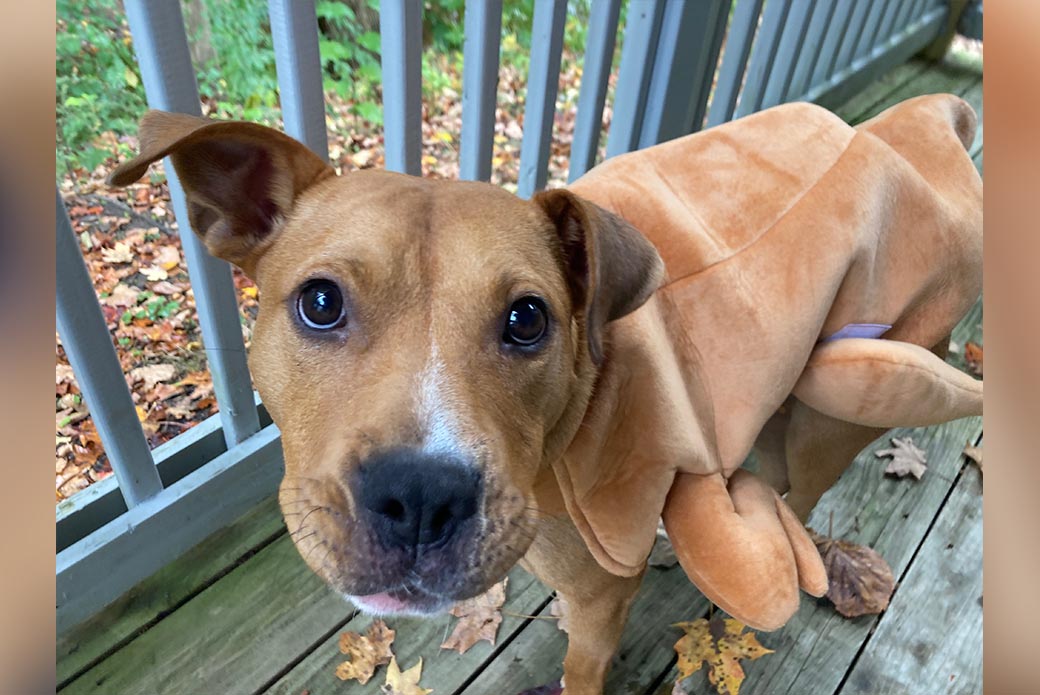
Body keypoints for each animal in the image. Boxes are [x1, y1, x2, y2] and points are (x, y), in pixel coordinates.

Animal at [111, 93, 981, 695]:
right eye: (320, 302)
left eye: (528, 319)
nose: (418, 495)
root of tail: (923, 126)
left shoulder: (603, 592)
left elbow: (585, 667)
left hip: (847, 392)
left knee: (802, 484)